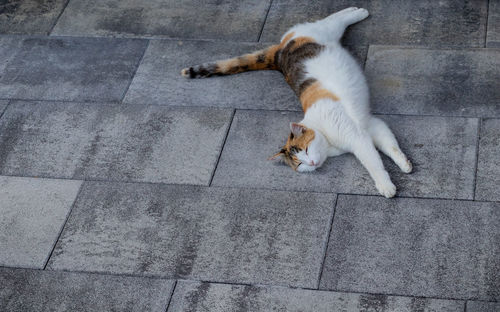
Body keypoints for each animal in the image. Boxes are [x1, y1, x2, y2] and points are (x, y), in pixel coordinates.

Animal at [182, 7, 412, 197]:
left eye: (306, 150)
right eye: (300, 165)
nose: (311, 162)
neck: (327, 140)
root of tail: (279, 52)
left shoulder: (357, 138)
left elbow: (373, 164)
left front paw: (386, 185)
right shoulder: (369, 125)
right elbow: (389, 145)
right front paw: (405, 164)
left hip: (323, 30)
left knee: (333, 19)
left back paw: (358, 11)